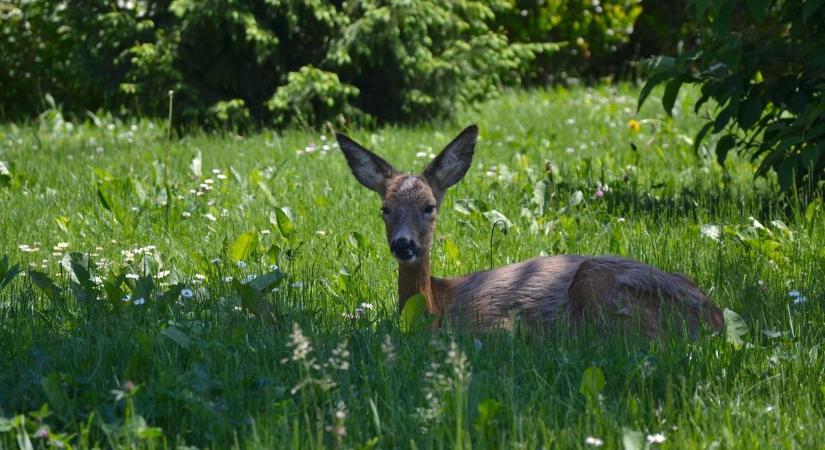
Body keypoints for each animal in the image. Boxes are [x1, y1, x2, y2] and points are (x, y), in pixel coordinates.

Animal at [334, 125, 720, 336]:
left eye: (429, 207)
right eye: (385, 209)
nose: (404, 244)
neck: (436, 305)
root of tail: (715, 316)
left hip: (600, 284)